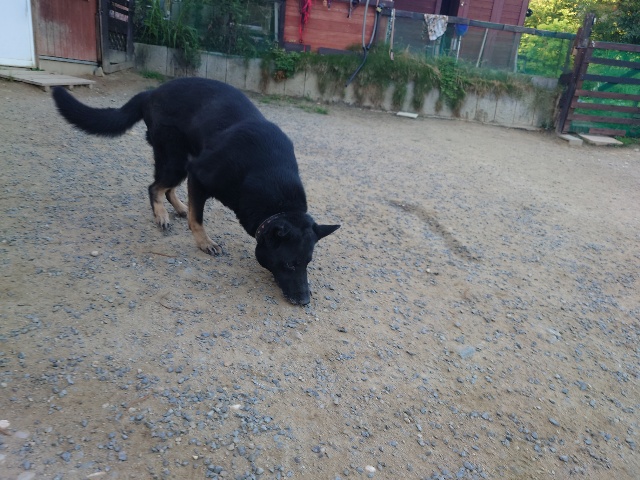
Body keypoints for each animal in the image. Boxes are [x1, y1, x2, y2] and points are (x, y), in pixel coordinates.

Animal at [52, 77, 339, 305]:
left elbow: (194, 211)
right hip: (177, 160)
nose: (305, 301)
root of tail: (151, 92)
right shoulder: (199, 175)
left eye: (308, 263)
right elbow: (197, 218)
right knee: (155, 187)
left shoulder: (197, 176)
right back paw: (161, 215)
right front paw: (204, 243)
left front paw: (189, 216)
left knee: (166, 188)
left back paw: (178, 208)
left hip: (181, 160)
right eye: (290, 263)